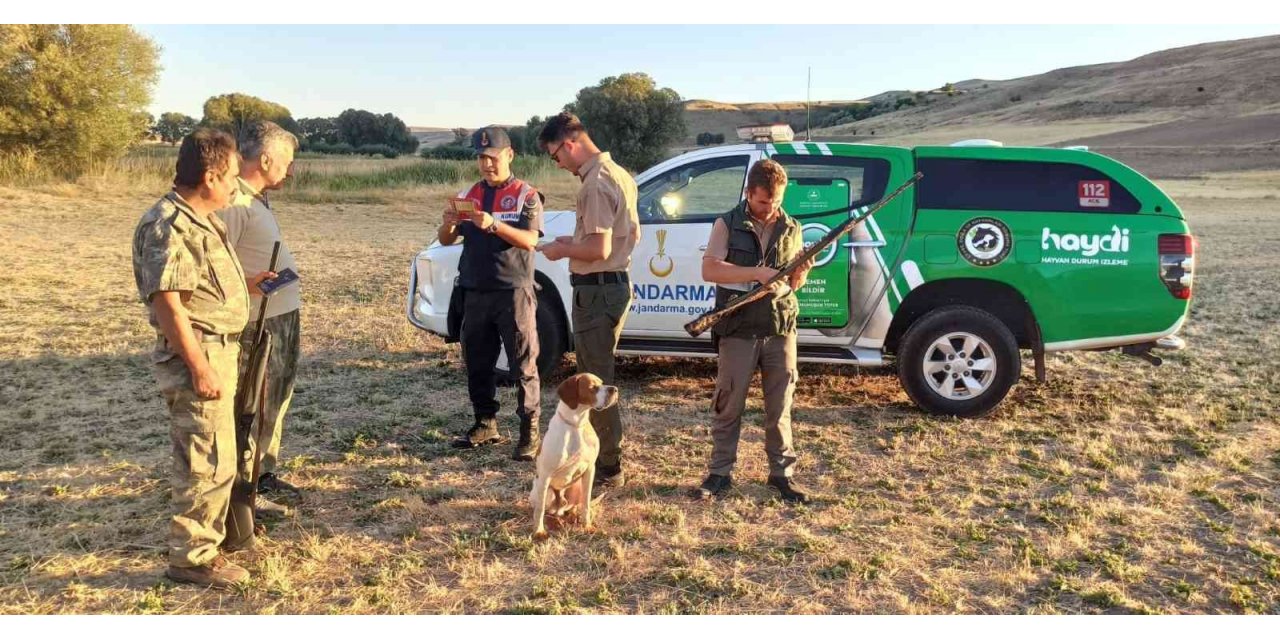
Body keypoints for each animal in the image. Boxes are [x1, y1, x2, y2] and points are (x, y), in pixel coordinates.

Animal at [529, 373, 619, 542]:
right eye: (592, 387)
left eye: (602, 383)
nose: (615, 389)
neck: (576, 424)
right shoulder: (545, 475)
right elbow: (539, 510)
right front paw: (538, 531)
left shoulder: (590, 470)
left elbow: (586, 504)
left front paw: (587, 526)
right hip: (543, 491)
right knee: (547, 509)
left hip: (577, 487)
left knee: (572, 507)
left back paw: (572, 516)